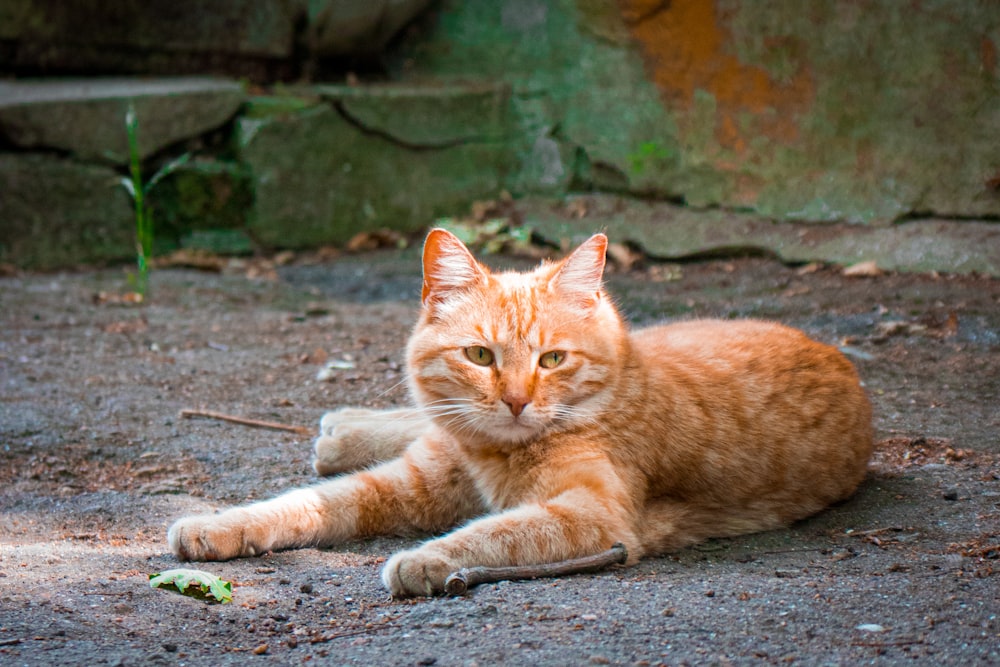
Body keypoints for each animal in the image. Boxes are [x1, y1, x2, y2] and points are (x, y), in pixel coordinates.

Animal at [168, 228, 872, 596]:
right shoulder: (405, 483)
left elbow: (498, 530)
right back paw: (345, 430)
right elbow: (305, 504)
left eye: (552, 359)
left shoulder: (595, 517)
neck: (485, 452)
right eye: (480, 355)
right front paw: (216, 524)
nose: (515, 399)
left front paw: (426, 560)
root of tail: (838, 357)